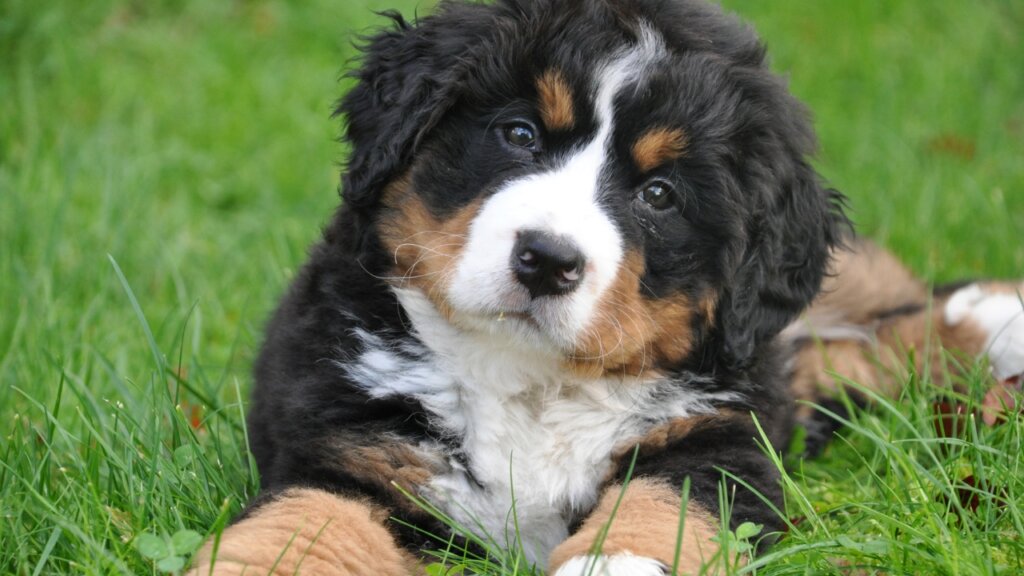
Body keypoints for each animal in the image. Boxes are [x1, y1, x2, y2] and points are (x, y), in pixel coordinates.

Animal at [190, 0, 1024, 569]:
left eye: (660, 195)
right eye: (519, 133)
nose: (547, 259)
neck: (529, 382)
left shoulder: (720, 441)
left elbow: (657, 508)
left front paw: (612, 561)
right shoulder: (348, 446)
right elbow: (302, 529)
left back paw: (996, 320)